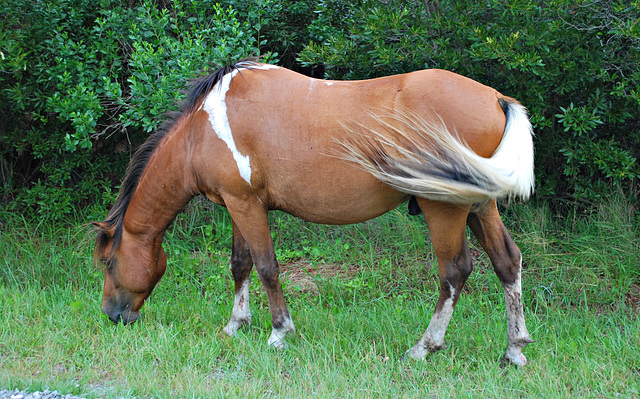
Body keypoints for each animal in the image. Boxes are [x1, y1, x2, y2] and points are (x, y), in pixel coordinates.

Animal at [94, 58, 536, 366]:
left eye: (109, 263)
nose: (112, 316)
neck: (203, 129)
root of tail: (495, 98)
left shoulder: (246, 206)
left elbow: (267, 266)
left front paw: (279, 332)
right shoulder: (238, 204)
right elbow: (240, 264)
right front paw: (236, 325)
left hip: (443, 208)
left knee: (454, 273)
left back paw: (424, 348)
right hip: (480, 205)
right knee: (506, 262)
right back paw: (514, 350)